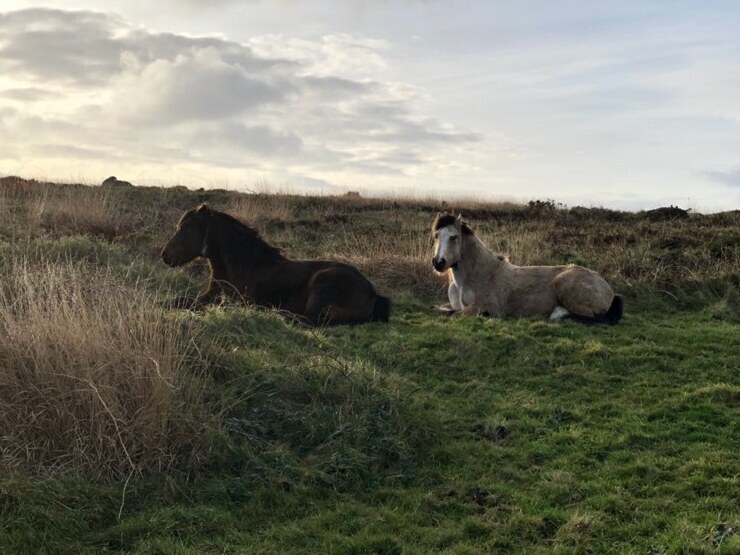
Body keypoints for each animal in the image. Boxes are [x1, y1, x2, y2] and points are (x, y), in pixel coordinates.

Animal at [161, 204, 391, 326]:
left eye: (186, 229)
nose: (165, 256)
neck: (245, 265)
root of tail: (372, 292)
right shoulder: (209, 295)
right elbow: (181, 300)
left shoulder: (238, 302)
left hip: (322, 282)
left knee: (308, 320)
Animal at [431, 213, 623, 324]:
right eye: (436, 235)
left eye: (454, 237)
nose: (438, 262)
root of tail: (608, 288)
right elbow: (439, 309)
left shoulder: (486, 307)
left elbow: (452, 314)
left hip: (565, 284)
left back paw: (557, 313)